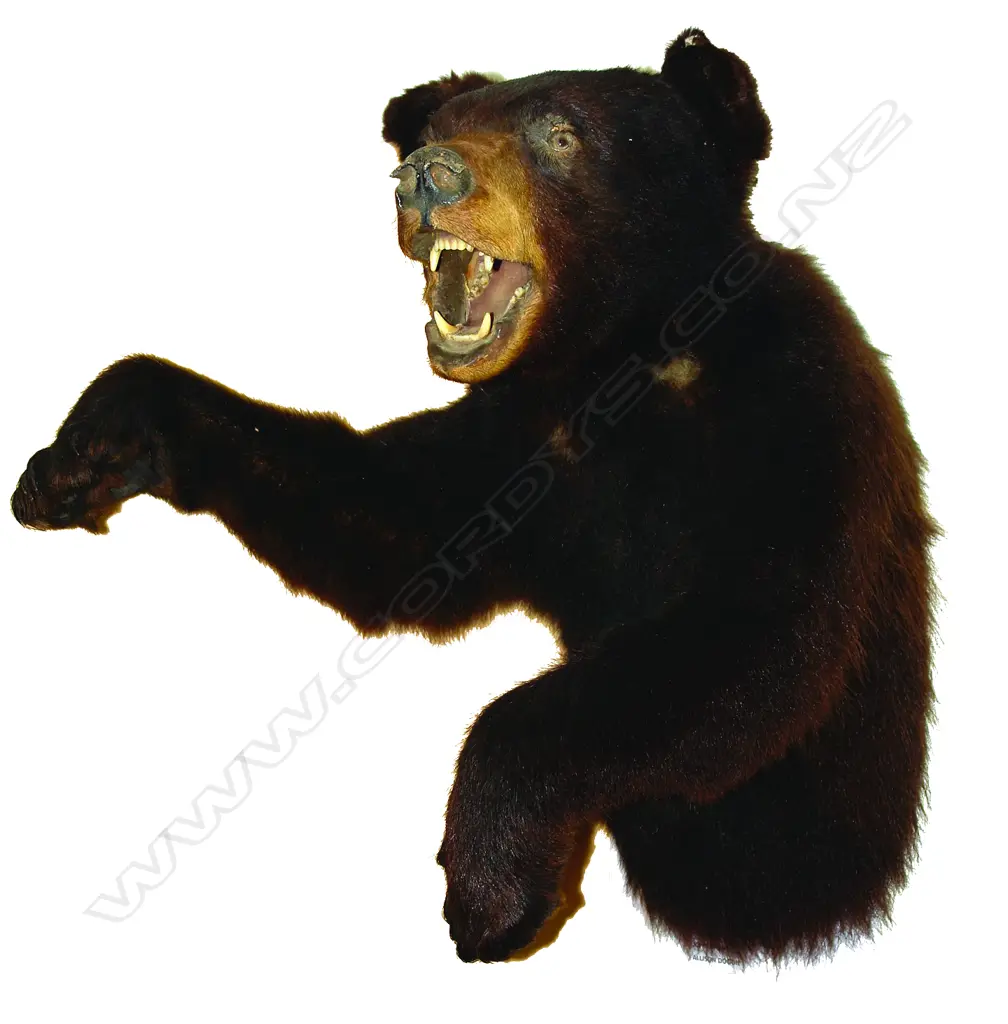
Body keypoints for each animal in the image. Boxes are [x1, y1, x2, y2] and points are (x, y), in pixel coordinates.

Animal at [10, 28, 937, 965]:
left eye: (560, 133)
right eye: (441, 126)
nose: (423, 175)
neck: (608, 370)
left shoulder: (789, 413)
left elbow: (763, 637)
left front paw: (489, 891)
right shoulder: (511, 446)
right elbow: (386, 529)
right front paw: (82, 453)